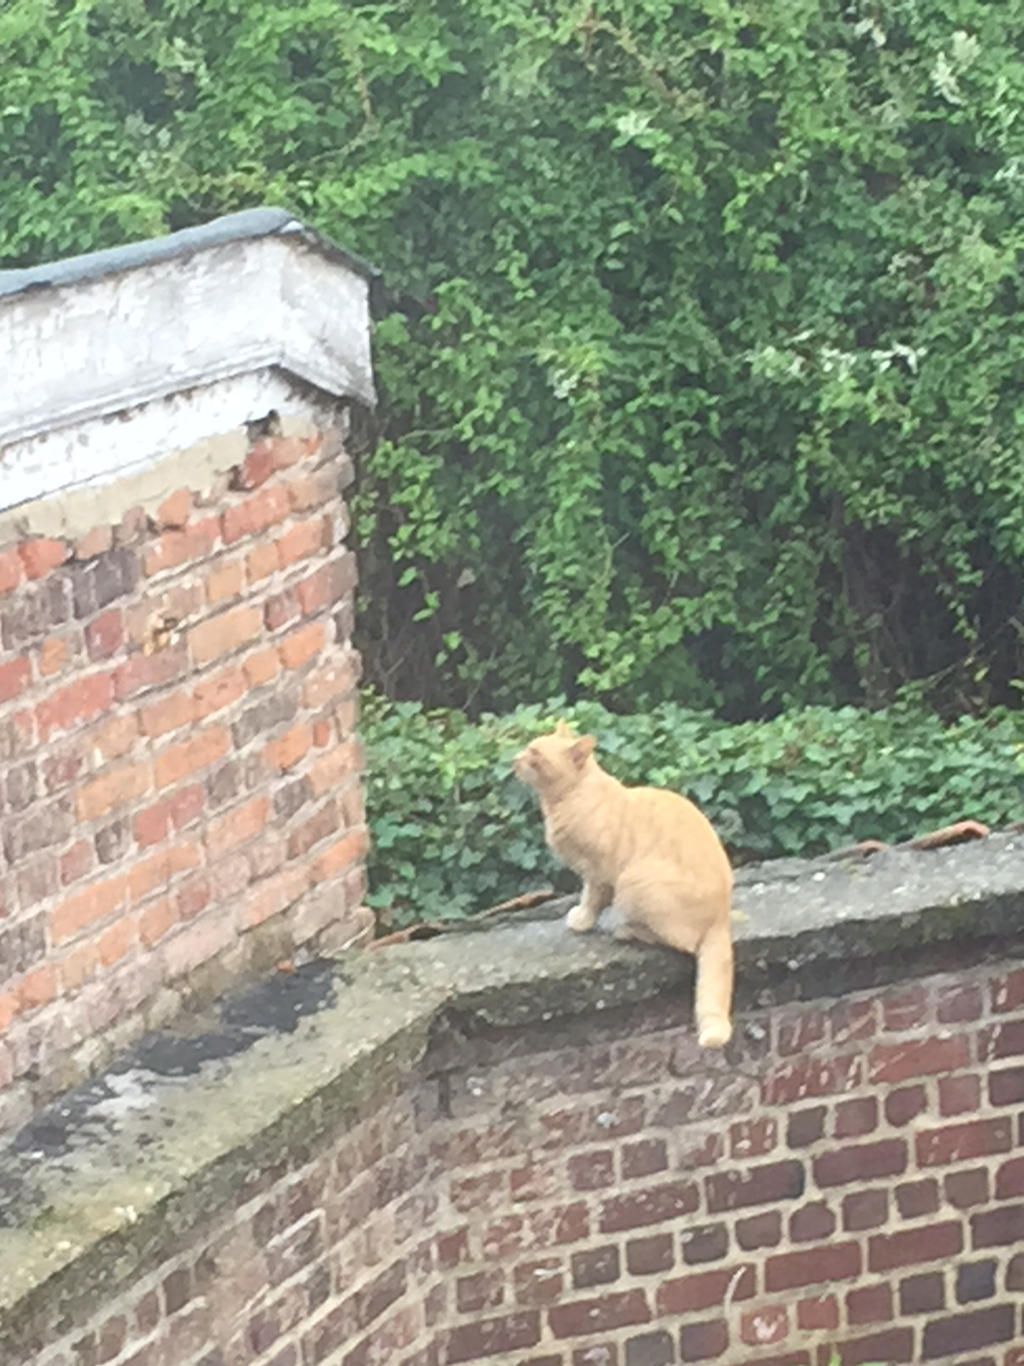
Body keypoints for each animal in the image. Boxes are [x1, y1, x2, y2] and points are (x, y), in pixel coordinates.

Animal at [516, 721, 731, 1049]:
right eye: (528, 748)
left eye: (536, 754)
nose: (515, 759)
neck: (568, 798)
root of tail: (722, 914)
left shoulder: (597, 874)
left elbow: (591, 900)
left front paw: (581, 920)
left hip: (635, 882)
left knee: (679, 942)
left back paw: (627, 929)